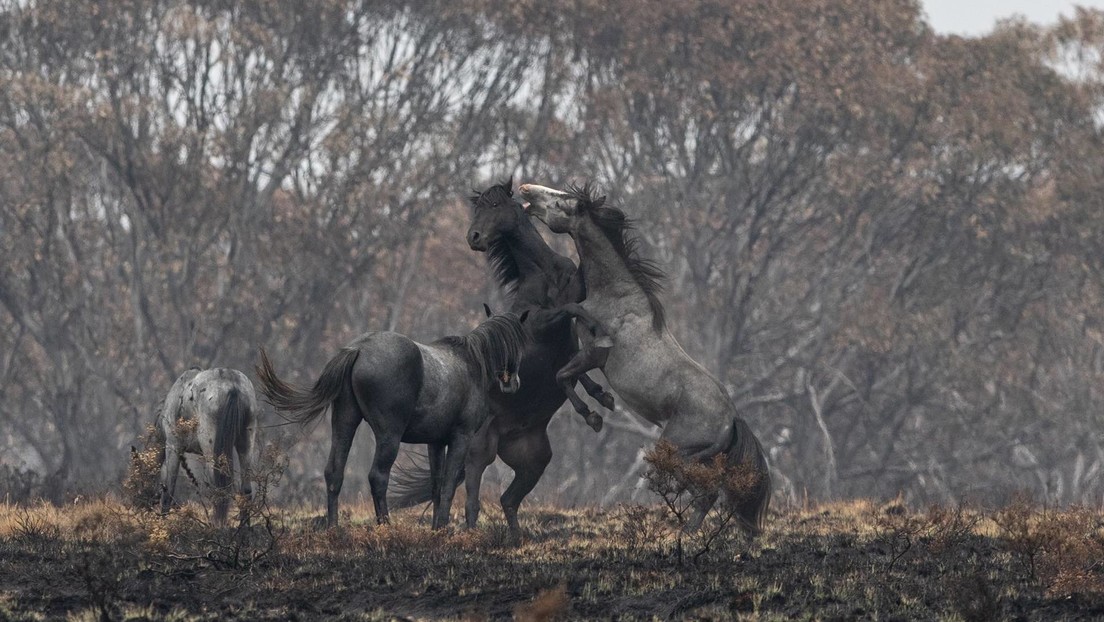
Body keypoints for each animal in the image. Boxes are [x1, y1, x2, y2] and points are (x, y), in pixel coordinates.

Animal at [157, 369, 260, 525]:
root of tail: (232, 386)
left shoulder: (173, 446)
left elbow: (169, 488)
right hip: (246, 442)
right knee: (246, 489)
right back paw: (243, 526)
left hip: (210, 450)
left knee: (219, 488)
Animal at [390, 180, 618, 534]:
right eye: (478, 208)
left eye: (496, 206)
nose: (474, 237)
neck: (546, 274)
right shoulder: (540, 324)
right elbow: (571, 314)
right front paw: (592, 408)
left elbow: (573, 362)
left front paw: (600, 398)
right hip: (478, 451)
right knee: (470, 498)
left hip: (534, 460)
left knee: (507, 500)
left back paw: (513, 539)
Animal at [521, 181, 772, 534]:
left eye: (561, 202)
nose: (526, 189)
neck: (615, 297)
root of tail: (732, 418)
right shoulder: (587, 354)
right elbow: (572, 375)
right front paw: (603, 398)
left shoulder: (594, 353)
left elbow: (563, 376)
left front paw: (594, 416)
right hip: (701, 457)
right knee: (708, 493)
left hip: (677, 453)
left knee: (705, 493)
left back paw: (685, 533)